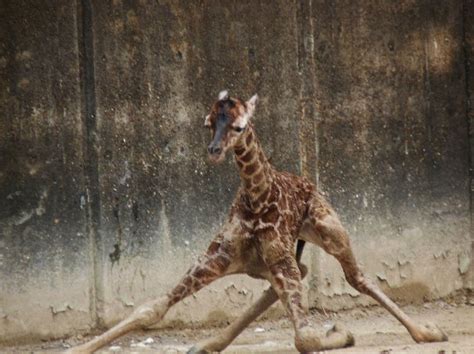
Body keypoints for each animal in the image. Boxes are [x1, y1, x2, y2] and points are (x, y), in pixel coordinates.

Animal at [68, 90, 446, 352]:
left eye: (239, 125)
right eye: (208, 123)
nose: (214, 151)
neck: (258, 198)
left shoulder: (277, 257)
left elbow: (304, 338)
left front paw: (342, 332)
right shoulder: (218, 257)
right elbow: (152, 308)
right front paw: (77, 348)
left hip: (327, 230)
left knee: (358, 278)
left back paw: (427, 332)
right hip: (257, 263)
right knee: (296, 275)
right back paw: (206, 344)